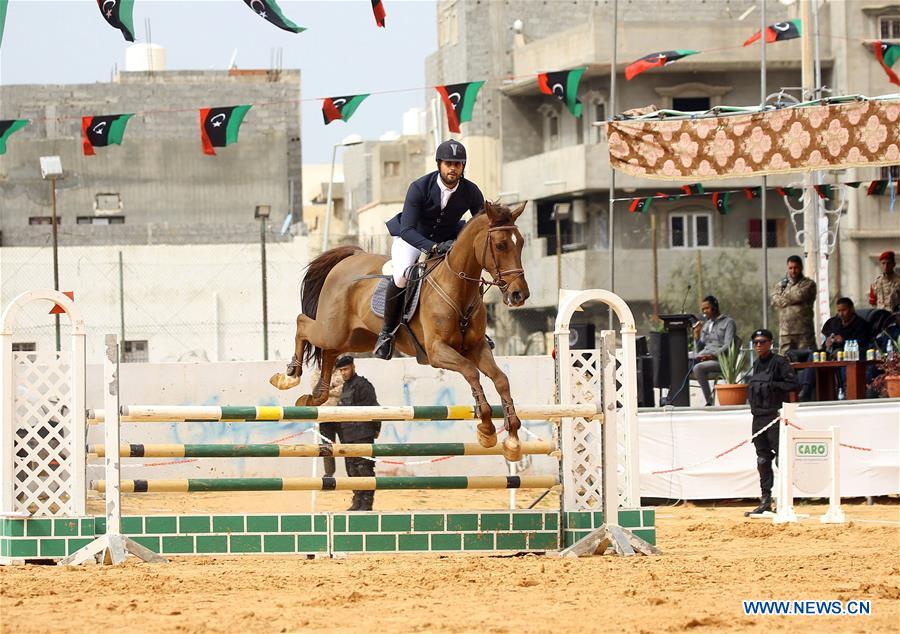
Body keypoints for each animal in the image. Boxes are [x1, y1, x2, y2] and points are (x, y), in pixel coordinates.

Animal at [270, 201, 532, 460]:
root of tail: (350, 258)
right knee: (302, 324)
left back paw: (316, 396)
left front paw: (512, 438)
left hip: (356, 338)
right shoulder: (437, 352)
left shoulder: (476, 348)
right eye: (500, 245)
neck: (457, 288)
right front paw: (486, 428)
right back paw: (289, 376)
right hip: (332, 329)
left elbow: (501, 379)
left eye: (521, 243)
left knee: (330, 353)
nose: (519, 294)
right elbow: (471, 372)